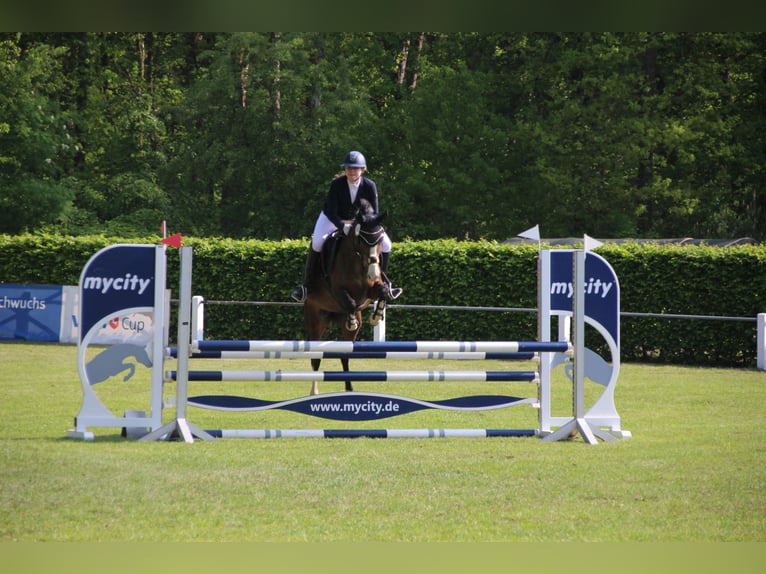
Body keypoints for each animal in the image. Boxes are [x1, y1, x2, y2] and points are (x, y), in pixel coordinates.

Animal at [304, 199, 390, 396]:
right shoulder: (336, 290)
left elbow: (382, 293)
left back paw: (349, 388)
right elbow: (349, 300)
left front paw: (376, 316)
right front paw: (352, 319)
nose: (373, 273)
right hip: (315, 318)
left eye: (380, 240)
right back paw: (314, 391)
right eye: (362, 240)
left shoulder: (371, 290)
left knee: (345, 355)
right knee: (315, 358)